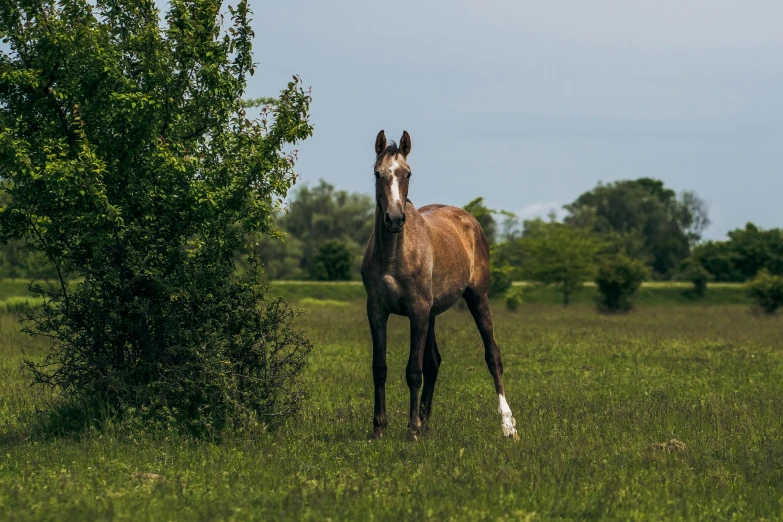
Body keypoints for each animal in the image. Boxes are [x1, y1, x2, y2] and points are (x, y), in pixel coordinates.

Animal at [362, 129, 520, 438]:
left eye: (408, 173)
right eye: (377, 173)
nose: (395, 219)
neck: (394, 255)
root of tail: (468, 220)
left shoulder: (418, 311)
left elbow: (413, 371)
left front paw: (411, 431)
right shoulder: (376, 311)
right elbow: (379, 368)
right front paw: (379, 429)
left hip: (477, 298)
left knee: (493, 356)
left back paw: (507, 425)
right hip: (433, 313)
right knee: (433, 362)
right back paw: (425, 424)